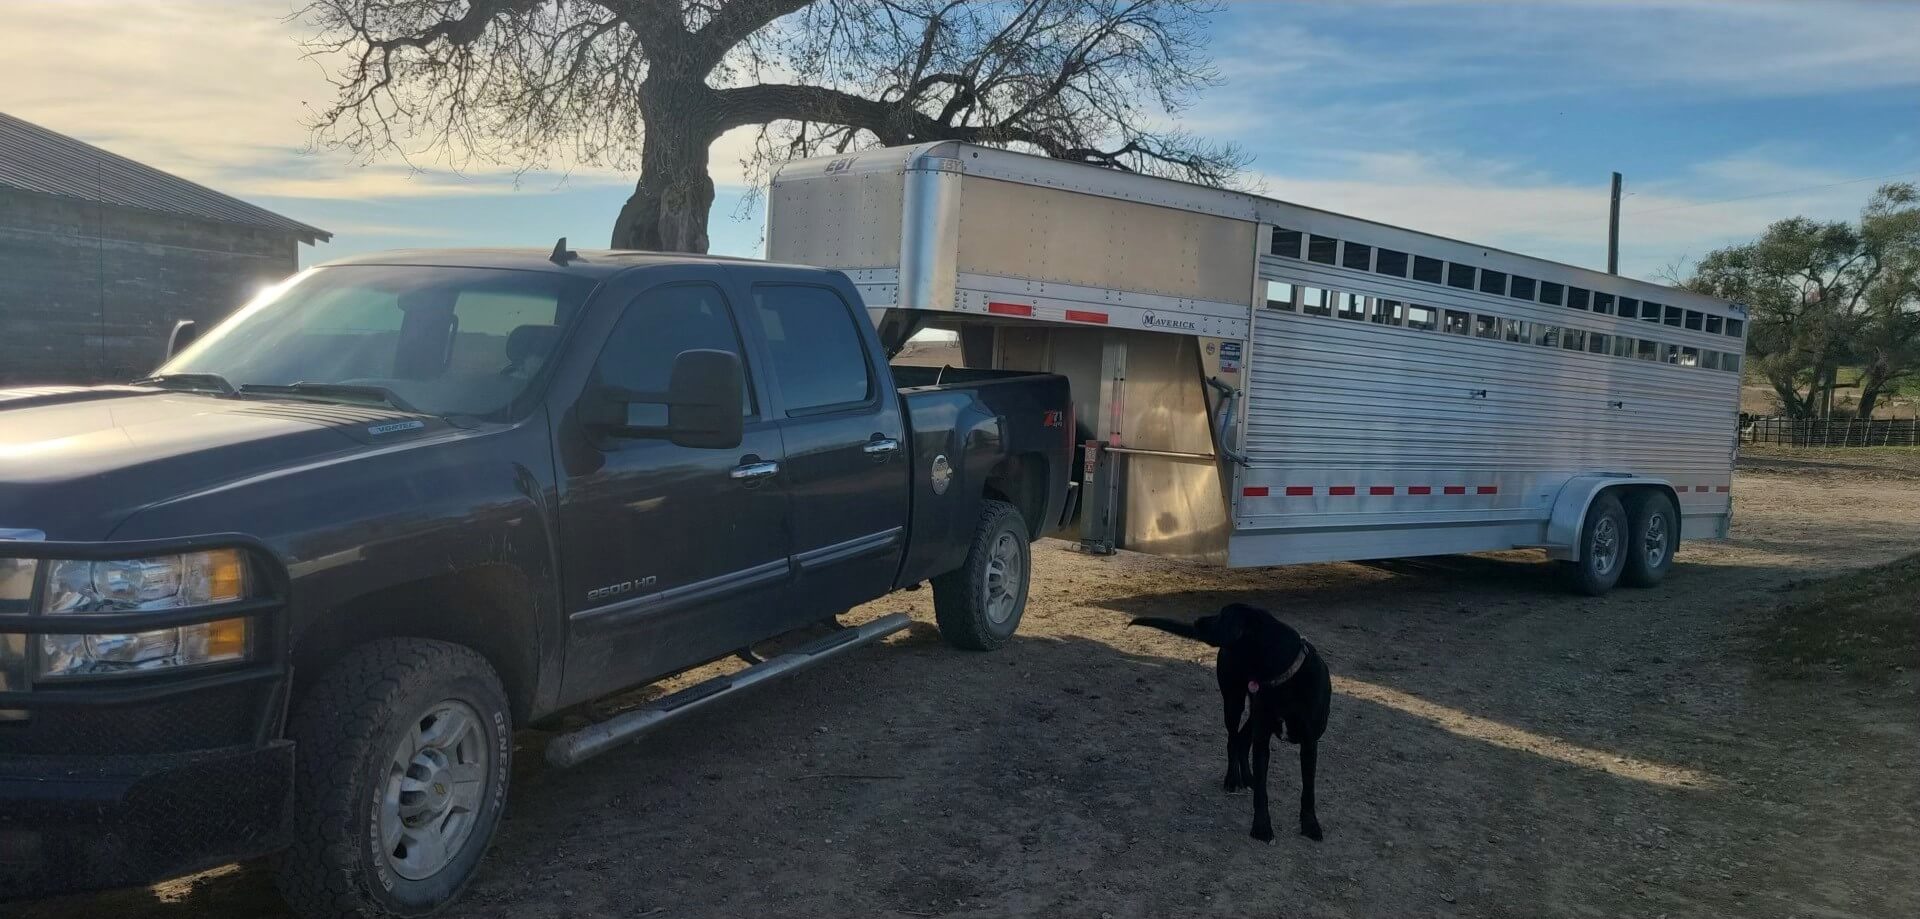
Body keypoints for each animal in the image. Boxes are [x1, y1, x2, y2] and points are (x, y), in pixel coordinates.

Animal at [1128, 606, 1328, 840]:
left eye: (1223, 615)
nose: (1197, 621)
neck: (1285, 676)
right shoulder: (1263, 737)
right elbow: (1262, 792)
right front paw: (1261, 827)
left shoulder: (1309, 744)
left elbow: (1308, 790)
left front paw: (1310, 825)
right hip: (1234, 702)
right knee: (1233, 740)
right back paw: (1233, 779)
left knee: (1242, 740)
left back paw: (1247, 778)